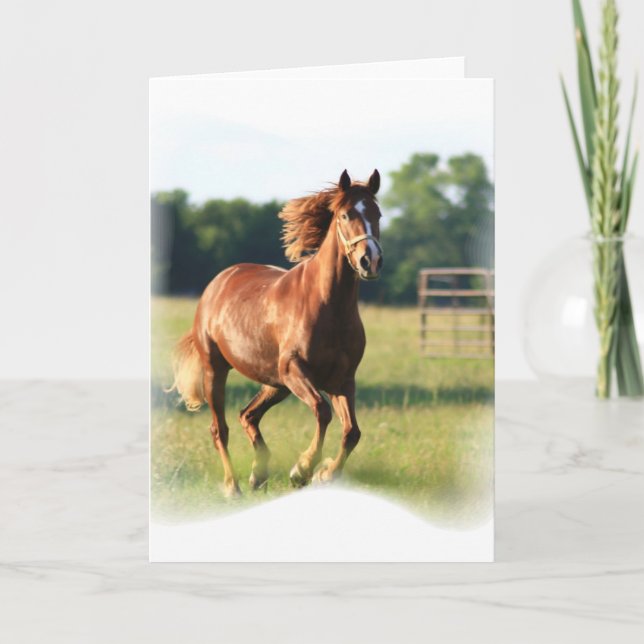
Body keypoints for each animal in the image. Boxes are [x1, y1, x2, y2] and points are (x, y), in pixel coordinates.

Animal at [170, 169, 383, 497]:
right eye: (346, 214)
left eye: (378, 214)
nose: (369, 261)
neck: (327, 306)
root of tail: (218, 282)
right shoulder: (294, 369)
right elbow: (322, 411)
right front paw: (303, 469)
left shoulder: (342, 380)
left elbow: (352, 432)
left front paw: (325, 474)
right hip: (218, 371)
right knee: (220, 429)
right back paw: (233, 486)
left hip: (275, 383)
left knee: (248, 415)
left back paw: (258, 475)